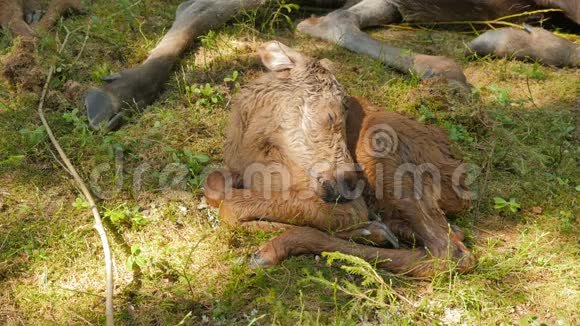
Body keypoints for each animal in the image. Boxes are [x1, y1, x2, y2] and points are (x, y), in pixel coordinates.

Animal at [204, 41, 476, 278]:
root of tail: (462, 188)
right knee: (452, 239)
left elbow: (231, 205)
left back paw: (273, 249)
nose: (348, 183)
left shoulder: (341, 201)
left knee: (450, 253)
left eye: (346, 115)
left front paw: (368, 230)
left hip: (381, 144)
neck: (249, 147)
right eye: (330, 115)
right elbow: (214, 188)